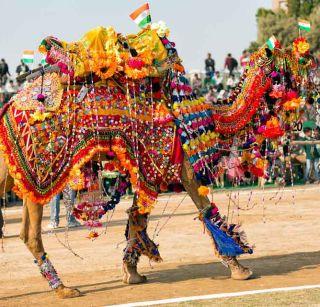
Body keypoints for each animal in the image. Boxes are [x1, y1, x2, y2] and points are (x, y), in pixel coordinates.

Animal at [0, 16, 312, 298]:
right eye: (288, 64)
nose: (310, 85)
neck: (211, 117)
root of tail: (8, 107)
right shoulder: (183, 166)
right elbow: (206, 209)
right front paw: (239, 267)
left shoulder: (151, 170)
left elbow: (138, 217)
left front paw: (131, 273)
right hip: (40, 170)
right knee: (31, 233)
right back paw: (64, 289)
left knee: (25, 232)